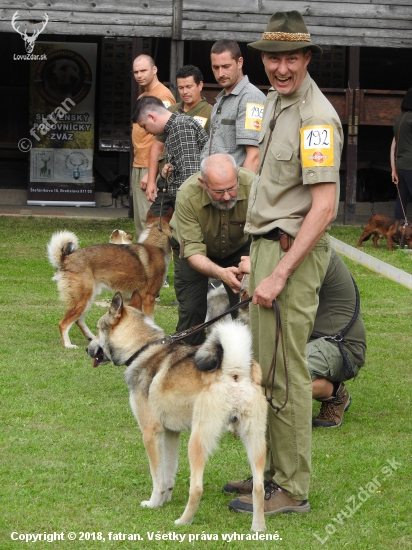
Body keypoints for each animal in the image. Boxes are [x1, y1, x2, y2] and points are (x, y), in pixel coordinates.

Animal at [47, 209, 172, 348]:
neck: (156, 245)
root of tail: (66, 259)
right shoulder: (149, 298)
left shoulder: (128, 300)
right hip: (83, 300)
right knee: (63, 323)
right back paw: (68, 345)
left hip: (87, 299)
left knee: (79, 321)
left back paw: (92, 337)